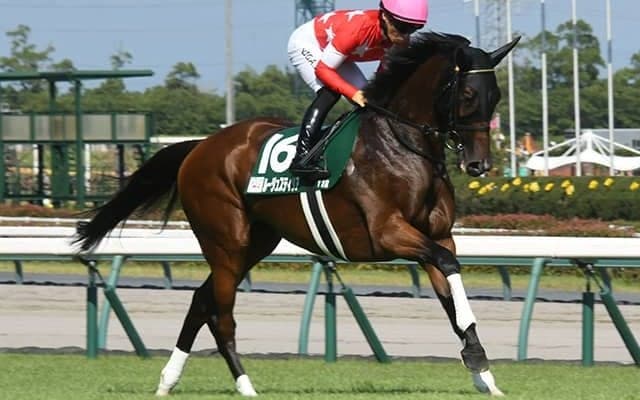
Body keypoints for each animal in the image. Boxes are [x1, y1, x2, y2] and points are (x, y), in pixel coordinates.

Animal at [74, 32, 519, 397]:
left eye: (497, 96)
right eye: (467, 94)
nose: (479, 164)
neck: (401, 144)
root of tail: (200, 146)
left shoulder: (437, 235)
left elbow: (449, 288)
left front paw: (482, 371)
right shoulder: (388, 233)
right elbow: (447, 266)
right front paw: (477, 357)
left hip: (256, 242)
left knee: (201, 300)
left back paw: (168, 380)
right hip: (226, 240)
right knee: (221, 313)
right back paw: (246, 385)